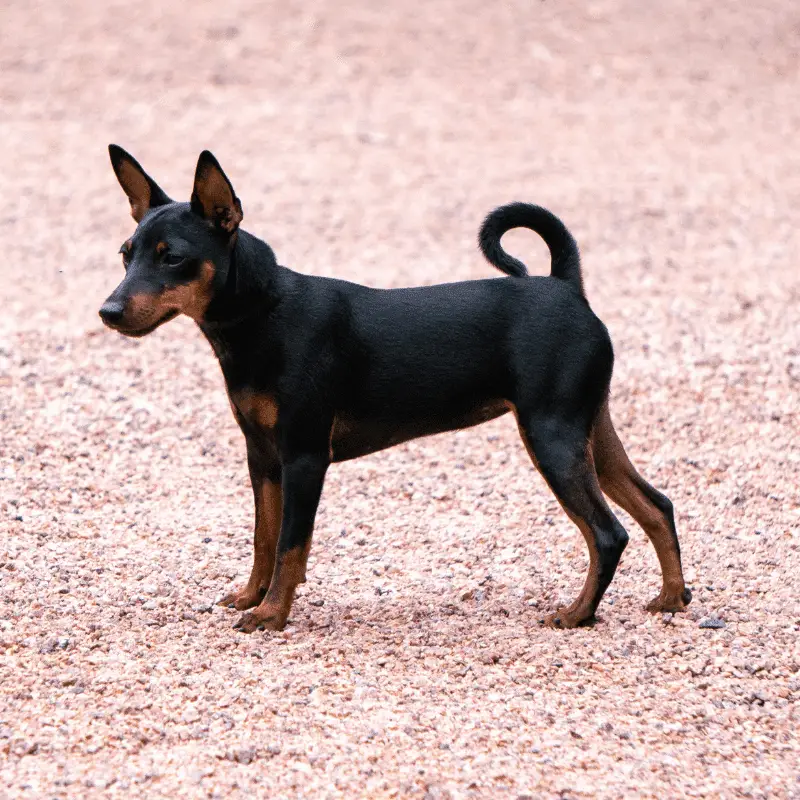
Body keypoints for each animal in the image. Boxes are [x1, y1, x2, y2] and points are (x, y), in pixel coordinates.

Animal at [98, 145, 688, 632]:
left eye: (172, 256)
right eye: (126, 253)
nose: (108, 311)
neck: (266, 314)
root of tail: (566, 286)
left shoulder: (305, 457)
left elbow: (290, 544)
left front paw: (271, 614)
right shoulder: (262, 457)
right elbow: (264, 538)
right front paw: (251, 597)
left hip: (551, 436)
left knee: (608, 533)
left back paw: (578, 614)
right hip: (588, 431)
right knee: (657, 505)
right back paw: (672, 598)